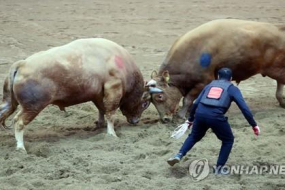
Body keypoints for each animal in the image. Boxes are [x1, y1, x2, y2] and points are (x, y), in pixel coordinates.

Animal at [0, 38, 150, 151]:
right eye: (144, 104)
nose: (136, 121)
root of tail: (22, 64)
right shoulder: (113, 88)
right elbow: (110, 113)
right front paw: (112, 134)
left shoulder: (97, 94)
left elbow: (101, 109)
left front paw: (100, 125)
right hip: (33, 107)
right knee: (19, 122)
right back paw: (21, 147)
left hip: (13, 104)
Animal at [146, 19, 285, 122]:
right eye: (151, 100)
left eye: (159, 96)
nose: (164, 119)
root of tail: (279, 28)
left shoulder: (204, 82)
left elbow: (188, 99)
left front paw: (181, 115)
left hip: (276, 69)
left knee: (280, 81)